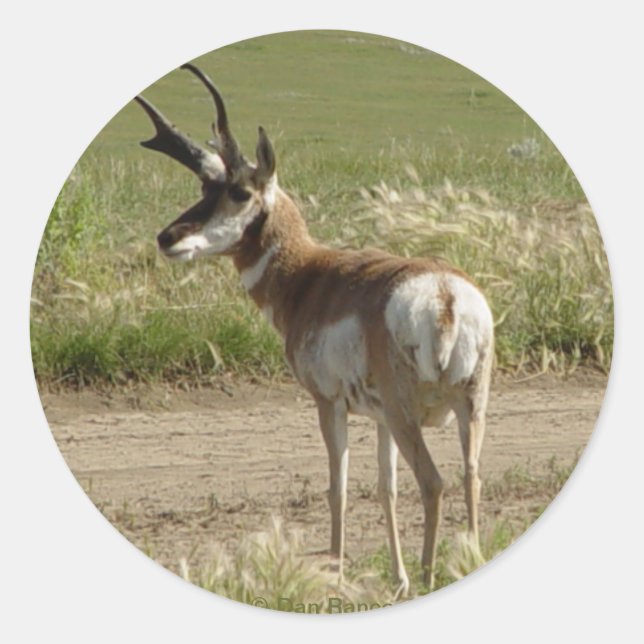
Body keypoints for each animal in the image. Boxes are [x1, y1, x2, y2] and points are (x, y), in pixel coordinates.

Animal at [135, 64, 494, 596]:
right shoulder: (379, 419)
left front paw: (335, 578)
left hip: (410, 414)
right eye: (204, 190)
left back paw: (431, 573)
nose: (167, 238)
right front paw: (397, 579)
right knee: (471, 476)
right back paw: (464, 561)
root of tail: (445, 294)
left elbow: (338, 489)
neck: (310, 274)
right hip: (468, 407)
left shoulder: (330, 404)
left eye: (239, 191)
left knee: (433, 482)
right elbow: (385, 489)